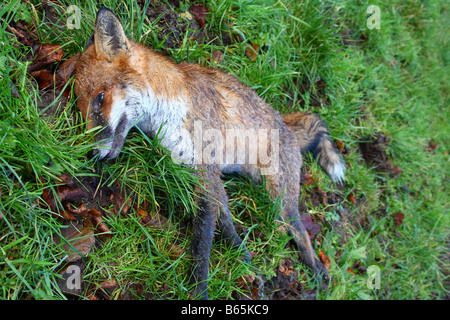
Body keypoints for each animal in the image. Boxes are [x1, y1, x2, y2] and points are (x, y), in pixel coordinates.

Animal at [74, 6, 344, 298]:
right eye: (80, 109)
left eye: (100, 98)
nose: (91, 154)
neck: (166, 115)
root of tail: (286, 124)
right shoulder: (197, 171)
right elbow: (222, 220)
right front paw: (241, 254)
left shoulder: (204, 169)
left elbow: (201, 245)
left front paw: (198, 290)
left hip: (280, 201)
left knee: (301, 233)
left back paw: (317, 271)